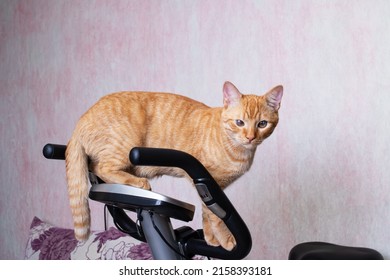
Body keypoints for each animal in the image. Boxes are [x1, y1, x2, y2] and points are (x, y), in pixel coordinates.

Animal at [65, 82, 282, 250]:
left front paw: (211, 239)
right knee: (100, 167)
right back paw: (137, 182)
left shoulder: (209, 187)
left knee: (95, 167)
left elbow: (207, 213)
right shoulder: (207, 180)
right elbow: (215, 216)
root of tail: (80, 120)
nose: (250, 137)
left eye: (262, 124)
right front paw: (226, 238)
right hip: (123, 145)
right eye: (239, 122)